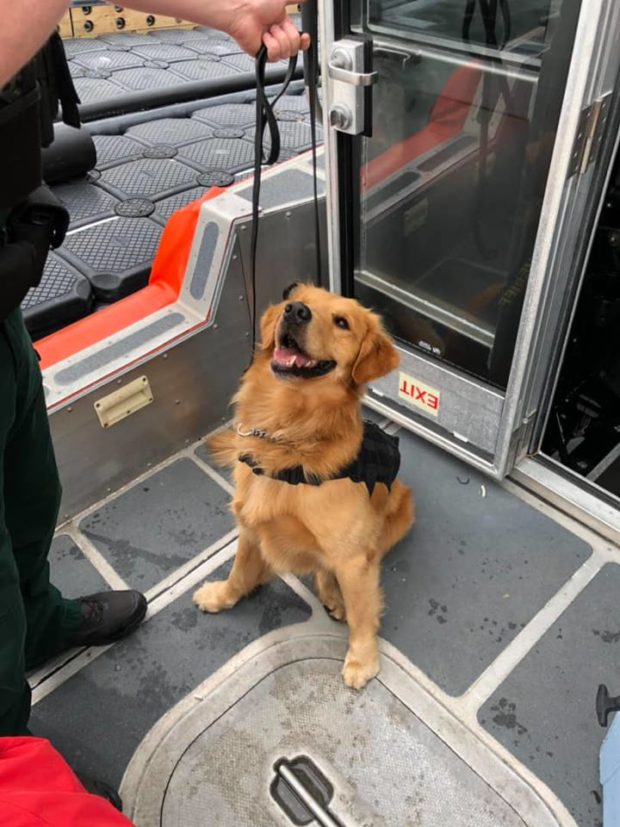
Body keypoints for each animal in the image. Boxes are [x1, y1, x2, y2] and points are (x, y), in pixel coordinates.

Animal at [193, 284, 416, 692]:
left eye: (342, 322)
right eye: (295, 302)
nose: (295, 312)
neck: (288, 436)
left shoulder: (353, 557)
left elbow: (363, 613)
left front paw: (362, 660)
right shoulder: (250, 528)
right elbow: (239, 572)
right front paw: (222, 596)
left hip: (401, 513)